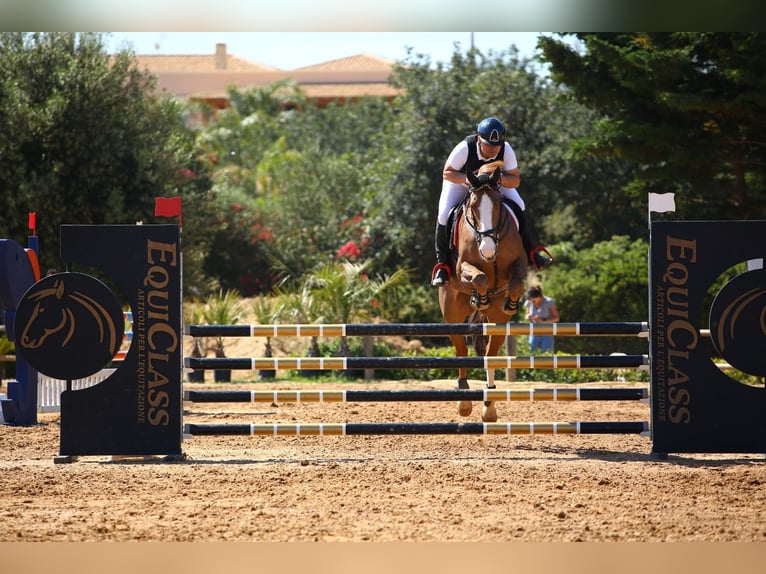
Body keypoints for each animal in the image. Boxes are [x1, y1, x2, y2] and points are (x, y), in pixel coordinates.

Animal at [438, 162, 528, 424]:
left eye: (498, 204)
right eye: (474, 207)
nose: (487, 251)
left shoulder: (520, 263)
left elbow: (515, 284)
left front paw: (510, 302)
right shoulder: (462, 268)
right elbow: (479, 277)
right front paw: (480, 298)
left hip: (497, 323)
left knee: (490, 354)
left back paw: (489, 405)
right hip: (452, 315)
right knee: (461, 351)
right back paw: (464, 402)